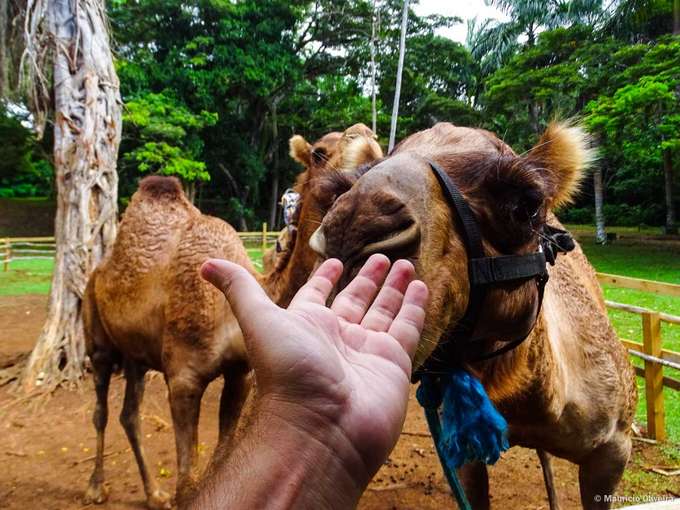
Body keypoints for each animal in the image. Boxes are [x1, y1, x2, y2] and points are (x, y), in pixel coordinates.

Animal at [81, 123, 382, 509]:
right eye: (318, 152)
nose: (366, 135)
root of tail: (98, 273)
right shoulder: (184, 378)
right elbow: (187, 482)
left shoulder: (240, 374)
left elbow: (221, 457)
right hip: (97, 337)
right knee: (101, 410)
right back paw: (95, 487)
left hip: (137, 356)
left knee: (129, 414)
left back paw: (153, 494)